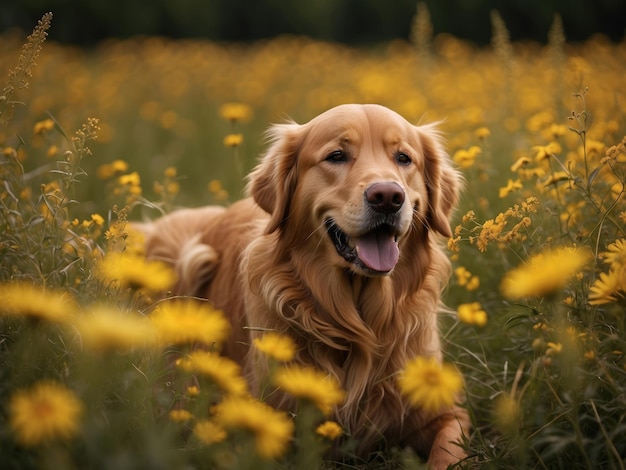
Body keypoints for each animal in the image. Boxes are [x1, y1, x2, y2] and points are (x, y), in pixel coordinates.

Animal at [139, 104, 466, 468]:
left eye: (404, 158)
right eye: (336, 156)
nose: (387, 197)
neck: (358, 326)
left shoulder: (447, 414)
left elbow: (447, 453)